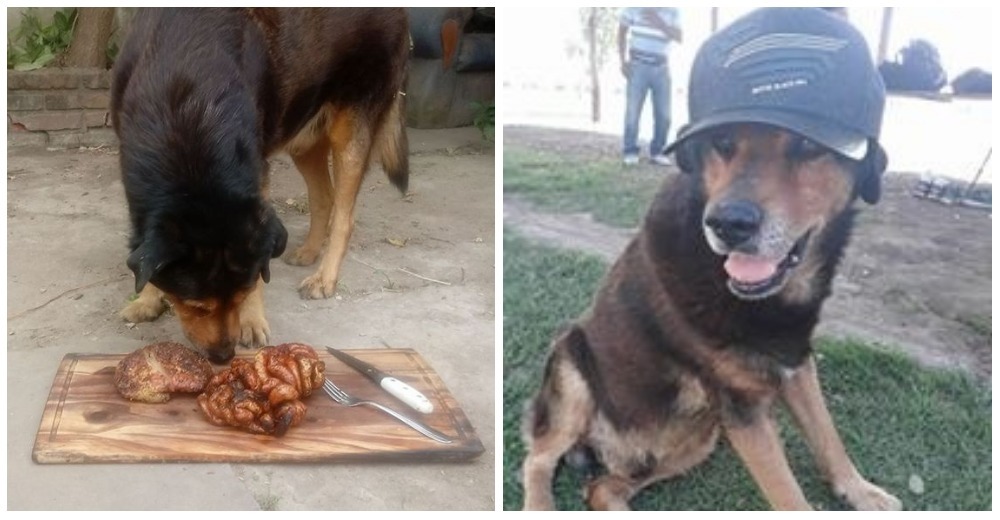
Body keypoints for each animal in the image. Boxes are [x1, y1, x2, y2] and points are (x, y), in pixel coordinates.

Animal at [115, 9, 412, 366]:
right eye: (196, 306)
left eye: (240, 295)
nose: (224, 356)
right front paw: (148, 299)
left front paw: (252, 320)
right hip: (303, 135)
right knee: (323, 197)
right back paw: (309, 251)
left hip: (351, 129)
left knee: (344, 214)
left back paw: (324, 278)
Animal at [520, 7, 904, 512]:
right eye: (721, 142)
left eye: (807, 147)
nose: (728, 224)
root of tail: (604, 450)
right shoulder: (742, 407)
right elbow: (789, 494)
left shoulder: (795, 361)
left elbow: (827, 434)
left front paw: (858, 488)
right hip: (572, 365)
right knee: (539, 459)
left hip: (698, 439)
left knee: (602, 488)